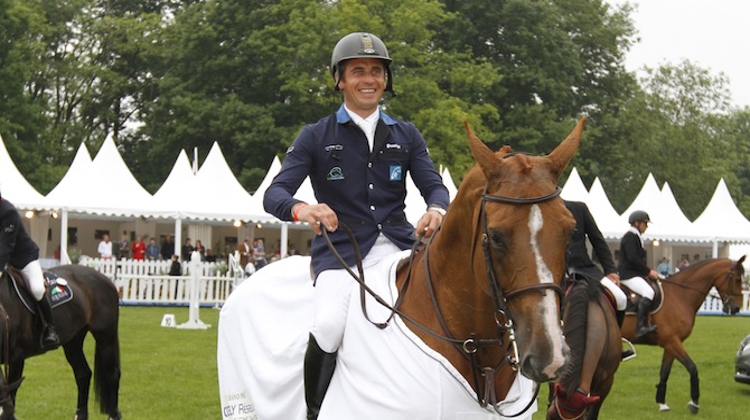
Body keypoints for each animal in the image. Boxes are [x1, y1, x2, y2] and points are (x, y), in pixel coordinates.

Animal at [1, 264, 122, 418]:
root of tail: (105, 278)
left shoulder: (17, 357)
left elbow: (10, 394)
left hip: (106, 338)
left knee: (112, 374)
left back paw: (113, 415)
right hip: (73, 342)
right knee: (83, 374)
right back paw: (80, 415)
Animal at [620, 256, 748, 414]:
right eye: (737, 279)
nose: (736, 308)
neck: (679, 295)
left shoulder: (670, 344)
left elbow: (664, 373)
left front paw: (662, 403)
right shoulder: (672, 341)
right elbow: (692, 368)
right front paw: (694, 403)